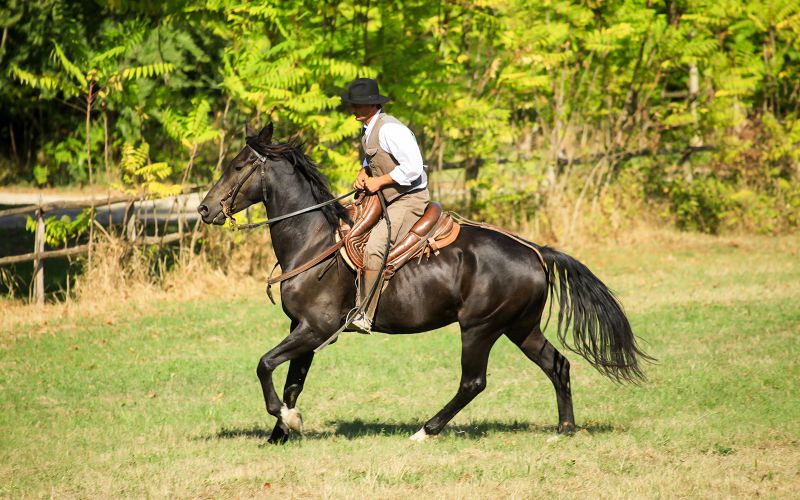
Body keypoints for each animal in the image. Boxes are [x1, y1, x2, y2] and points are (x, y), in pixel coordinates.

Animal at [197, 123, 652, 443]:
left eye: (238, 166)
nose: (203, 209)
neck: (315, 241)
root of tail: (534, 251)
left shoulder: (316, 328)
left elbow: (265, 365)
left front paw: (286, 420)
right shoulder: (303, 329)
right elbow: (293, 380)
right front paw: (281, 433)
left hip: (480, 328)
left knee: (473, 382)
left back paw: (426, 430)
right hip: (520, 327)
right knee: (557, 365)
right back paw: (565, 429)